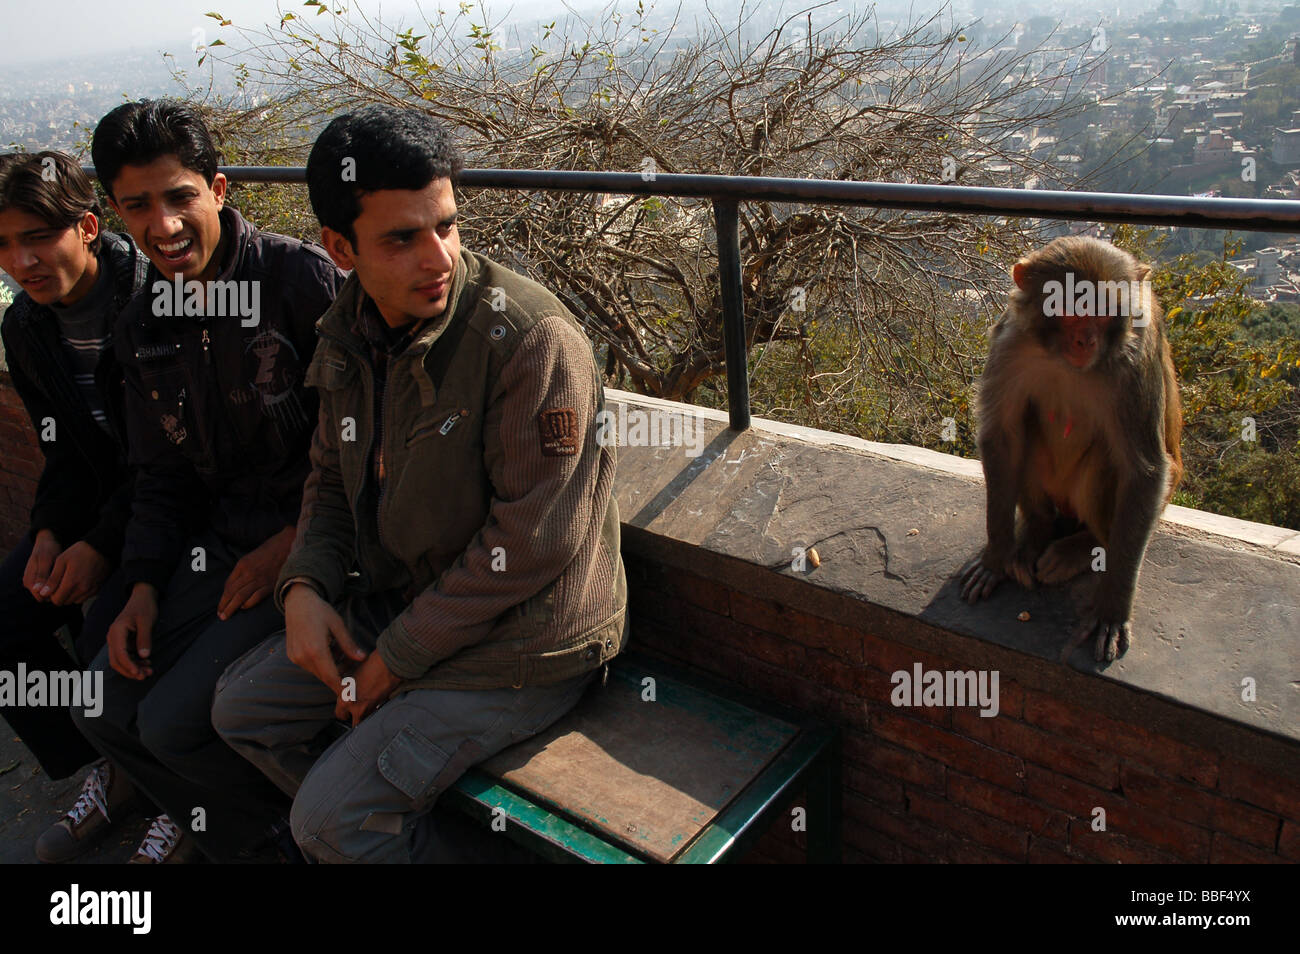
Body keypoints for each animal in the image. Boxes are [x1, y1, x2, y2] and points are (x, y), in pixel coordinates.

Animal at [961, 235, 1185, 660]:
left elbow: (1144, 471)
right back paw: (1036, 532)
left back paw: (1085, 547)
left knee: (1109, 462)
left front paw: (1113, 609)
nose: (1086, 339)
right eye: (1069, 306)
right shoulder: (1011, 341)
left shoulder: (1134, 362)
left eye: (1104, 312)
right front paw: (996, 557)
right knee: (1026, 431)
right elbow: (1003, 436)